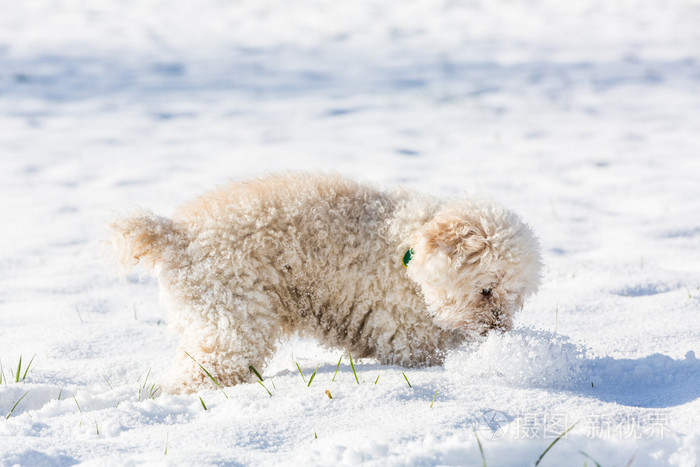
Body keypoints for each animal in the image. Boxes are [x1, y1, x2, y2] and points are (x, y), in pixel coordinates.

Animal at [113, 174, 540, 394]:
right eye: (486, 290)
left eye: (512, 299)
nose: (495, 331)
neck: (408, 249)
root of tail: (175, 235)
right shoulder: (405, 331)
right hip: (232, 319)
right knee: (201, 373)